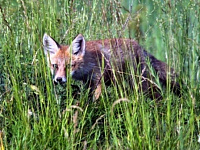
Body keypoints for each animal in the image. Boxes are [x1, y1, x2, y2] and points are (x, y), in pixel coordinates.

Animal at [43, 33, 180, 100]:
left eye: (69, 66)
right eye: (55, 66)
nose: (58, 79)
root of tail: (140, 46)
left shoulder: (99, 79)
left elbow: (96, 98)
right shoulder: (88, 82)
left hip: (140, 82)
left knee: (156, 94)